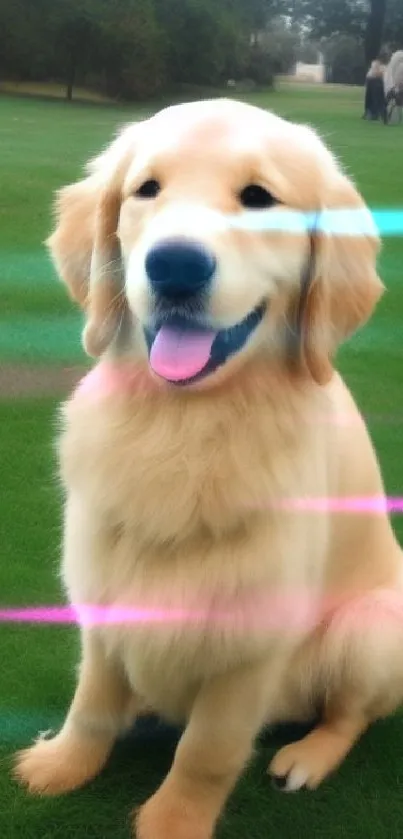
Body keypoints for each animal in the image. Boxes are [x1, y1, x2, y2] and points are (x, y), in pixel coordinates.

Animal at [14, 98, 403, 839]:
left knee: (352, 714)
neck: (185, 421)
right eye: (146, 189)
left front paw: (173, 820)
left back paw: (306, 757)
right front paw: (62, 764)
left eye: (258, 197)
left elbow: (206, 749)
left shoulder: (251, 641)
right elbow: (92, 700)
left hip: (368, 627)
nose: (174, 266)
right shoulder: (105, 586)